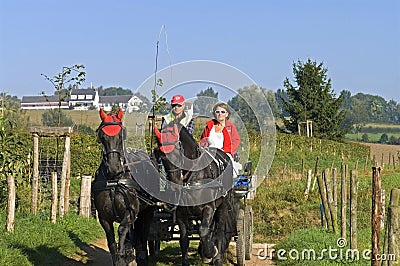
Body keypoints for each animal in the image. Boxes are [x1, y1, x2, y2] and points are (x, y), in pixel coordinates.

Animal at [93, 108, 154, 266]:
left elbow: (121, 229)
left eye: (121, 135)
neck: (114, 181)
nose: (114, 167)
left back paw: (141, 256)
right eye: (101, 136)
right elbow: (111, 240)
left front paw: (123, 256)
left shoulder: (130, 212)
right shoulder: (103, 217)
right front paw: (119, 257)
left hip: (148, 211)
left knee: (143, 235)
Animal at [155, 121, 239, 264]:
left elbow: (204, 231)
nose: (175, 186)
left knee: (219, 230)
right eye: (161, 156)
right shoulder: (181, 214)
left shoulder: (209, 207)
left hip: (222, 206)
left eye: (178, 153)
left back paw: (216, 257)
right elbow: (184, 239)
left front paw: (211, 251)